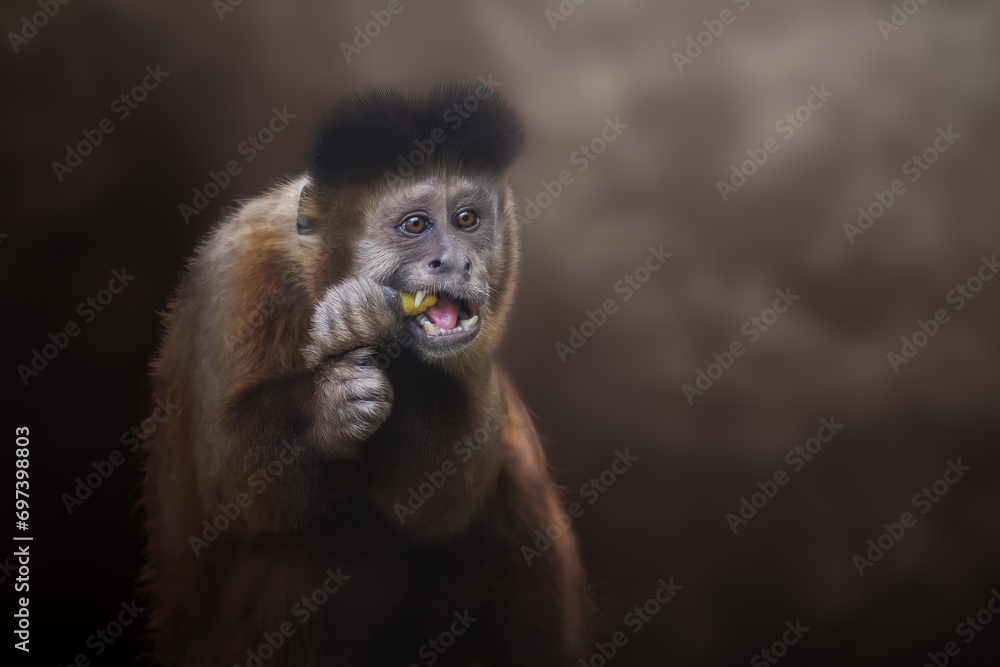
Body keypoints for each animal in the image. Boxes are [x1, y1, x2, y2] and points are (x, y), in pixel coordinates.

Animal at [140, 82, 591, 666]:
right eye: (416, 225)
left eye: (467, 220)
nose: (456, 262)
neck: (320, 276)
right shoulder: (237, 274)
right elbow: (231, 481)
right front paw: (333, 400)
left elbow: (439, 504)